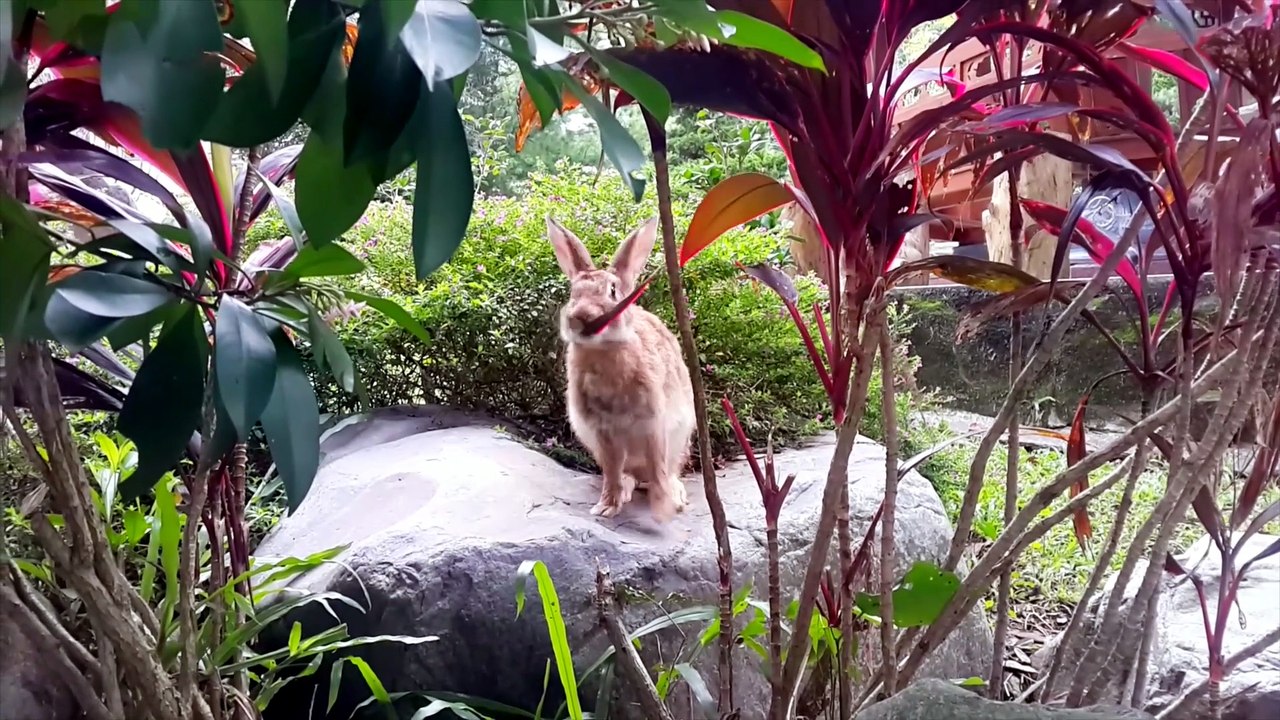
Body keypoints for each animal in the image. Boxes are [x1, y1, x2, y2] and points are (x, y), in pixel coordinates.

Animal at [547, 216, 696, 521]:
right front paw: (606, 507)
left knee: (666, 469)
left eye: (613, 291)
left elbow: (658, 465)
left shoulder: (652, 422)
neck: (603, 350)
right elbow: (613, 469)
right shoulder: (603, 431)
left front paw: (664, 507)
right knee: (626, 472)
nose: (580, 318)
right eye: (573, 294)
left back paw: (675, 494)